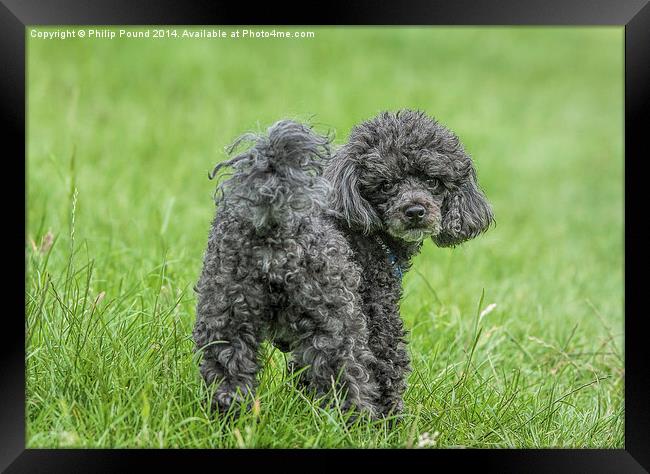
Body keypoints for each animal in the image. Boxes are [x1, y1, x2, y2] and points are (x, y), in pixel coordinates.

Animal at [192, 110, 492, 418]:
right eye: (385, 185)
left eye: (433, 181)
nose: (415, 211)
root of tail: (276, 219)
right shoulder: (377, 311)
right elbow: (388, 367)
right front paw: (393, 421)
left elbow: (303, 371)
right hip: (335, 318)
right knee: (345, 377)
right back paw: (355, 423)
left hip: (227, 308)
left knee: (227, 369)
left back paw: (227, 417)